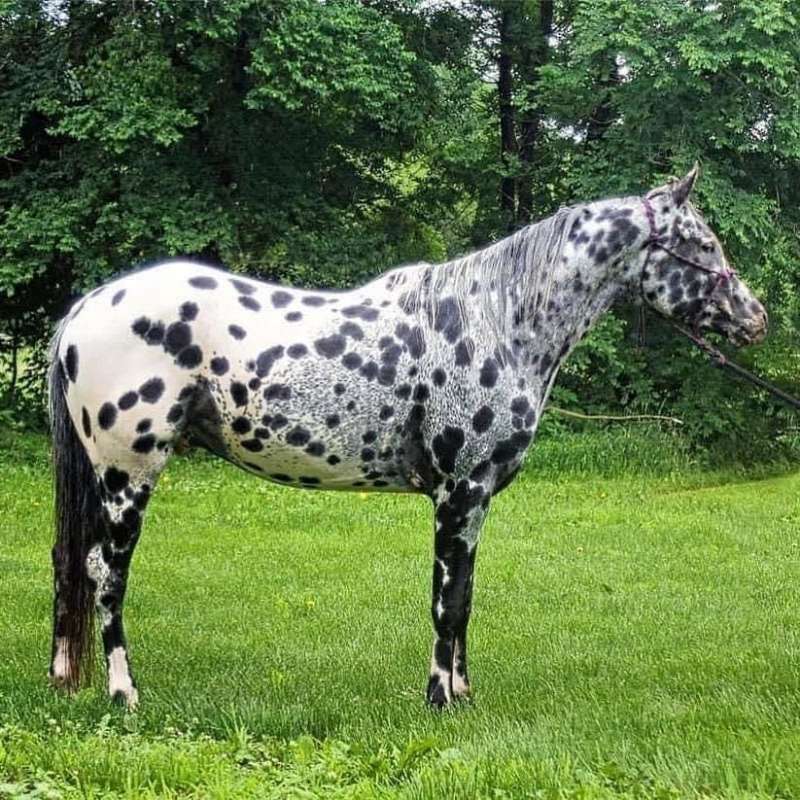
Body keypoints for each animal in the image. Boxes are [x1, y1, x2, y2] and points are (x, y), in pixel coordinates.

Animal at [48, 166, 767, 709]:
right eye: (702, 245)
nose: (755, 319)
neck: (498, 319)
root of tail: (84, 310)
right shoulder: (460, 493)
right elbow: (446, 602)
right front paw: (440, 698)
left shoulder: (474, 500)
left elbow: (464, 597)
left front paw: (463, 693)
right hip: (128, 478)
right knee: (104, 572)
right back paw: (123, 693)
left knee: (72, 567)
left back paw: (66, 678)